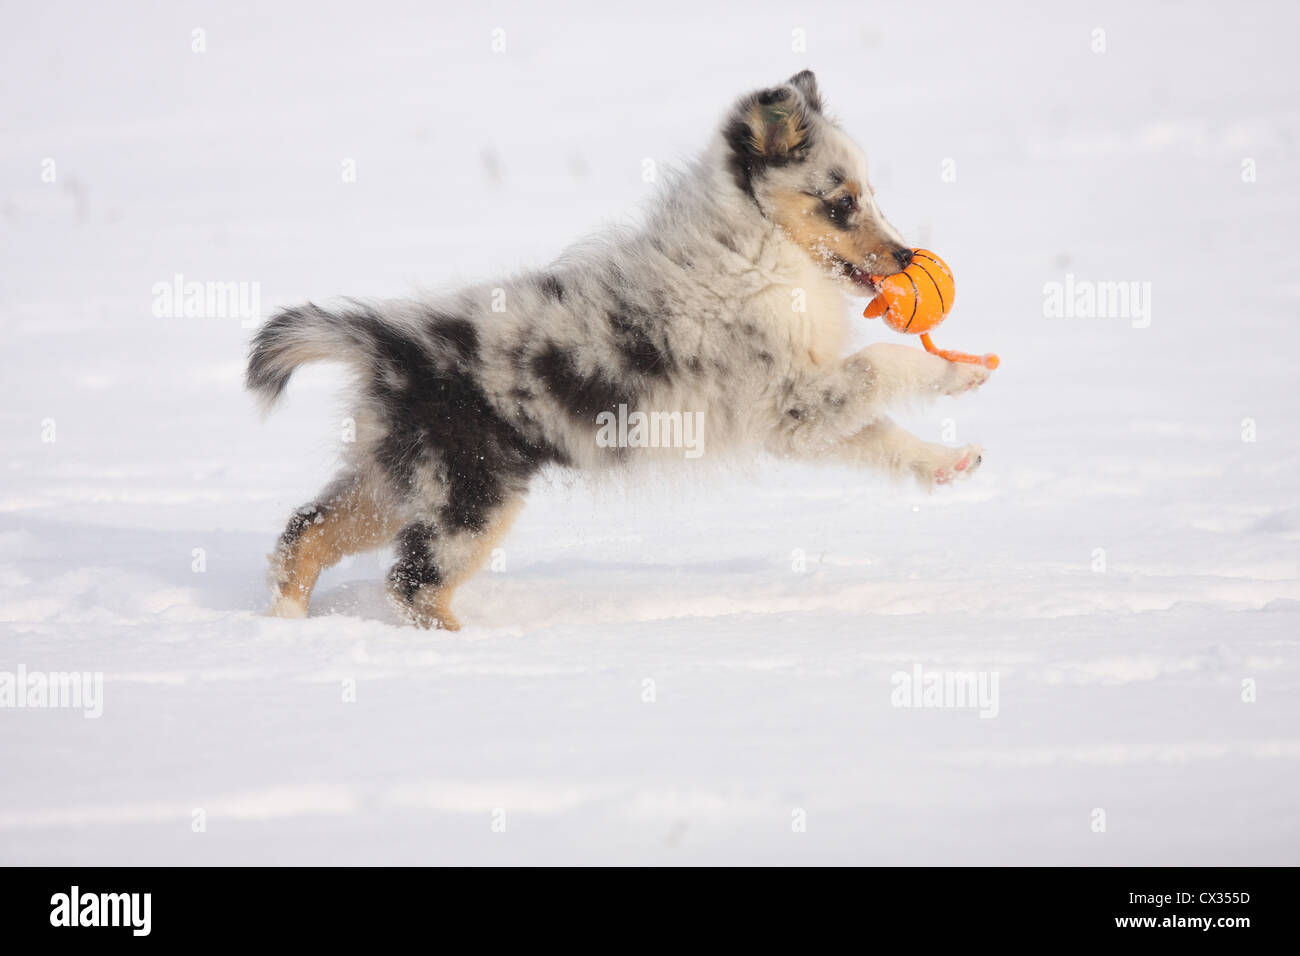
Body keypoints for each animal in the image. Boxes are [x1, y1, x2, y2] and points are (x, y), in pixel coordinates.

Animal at [248, 70, 987, 632]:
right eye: (841, 202)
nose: (907, 257)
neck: (755, 249)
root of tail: (385, 341)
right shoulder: (791, 399)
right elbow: (882, 366)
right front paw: (955, 372)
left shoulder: (795, 416)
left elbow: (881, 434)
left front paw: (948, 461)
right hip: (469, 494)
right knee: (413, 584)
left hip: (396, 480)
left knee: (305, 532)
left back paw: (285, 628)